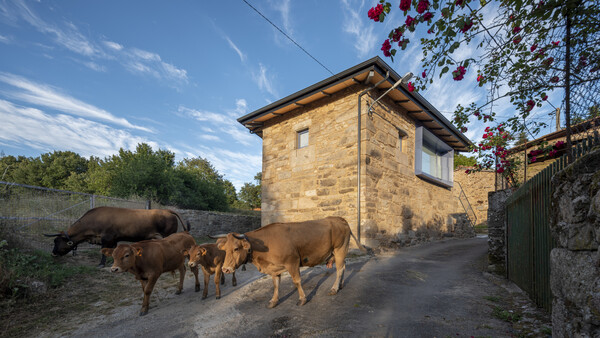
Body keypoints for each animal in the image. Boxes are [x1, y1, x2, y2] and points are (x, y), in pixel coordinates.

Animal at [216, 217, 366, 308]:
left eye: (236, 248)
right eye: (224, 249)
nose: (225, 269)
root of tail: (339, 219)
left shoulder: (292, 262)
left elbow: (297, 281)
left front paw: (302, 299)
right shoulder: (274, 268)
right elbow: (275, 285)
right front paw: (273, 301)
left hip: (340, 248)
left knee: (340, 268)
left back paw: (334, 288)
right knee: (343, 267)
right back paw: (340, 285)